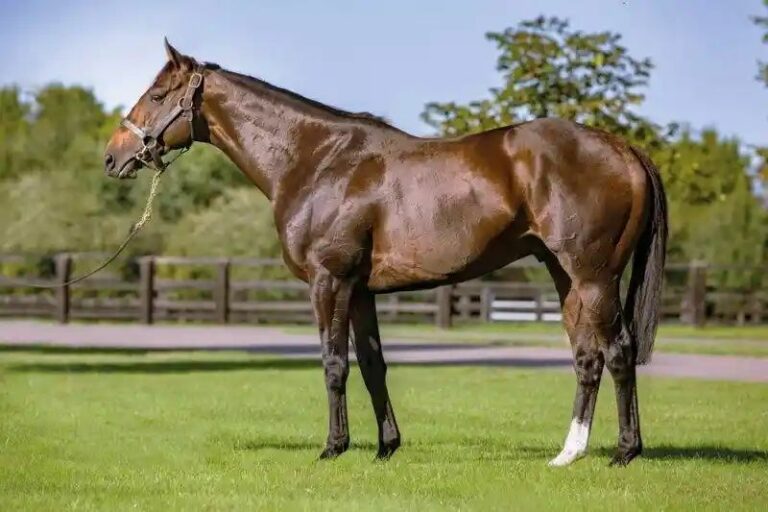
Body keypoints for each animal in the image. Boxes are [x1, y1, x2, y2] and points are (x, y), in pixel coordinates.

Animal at [104, 40, 667, 467]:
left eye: (157, 94)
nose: (113, 156)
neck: (316, 160)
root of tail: (624, 149)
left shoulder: (329, 281)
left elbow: (334, 364)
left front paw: (333, 448)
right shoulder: (360, 291)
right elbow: (373, 365)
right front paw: (385, 448)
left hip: (593, 276)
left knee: (619, 352)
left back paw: (625, 452)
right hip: (564, 277)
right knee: (587, 357)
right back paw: (568, 454)